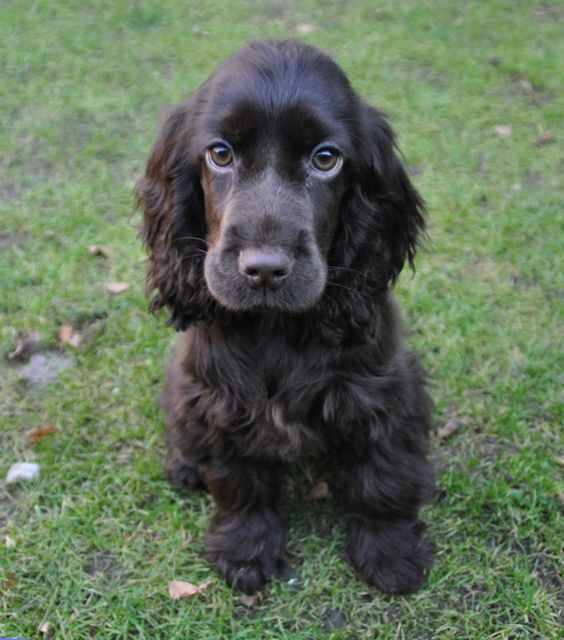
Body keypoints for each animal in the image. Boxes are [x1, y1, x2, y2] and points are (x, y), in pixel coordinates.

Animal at [134, 37, 434, 592]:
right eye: (221, 153)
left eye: (325, 159)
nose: (265, 270)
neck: (277, 328)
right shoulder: (220, 400)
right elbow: (240, 482)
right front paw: (246, 551)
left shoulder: (383, 393)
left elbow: (382, 477)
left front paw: (390, 552)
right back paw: (184, 465)